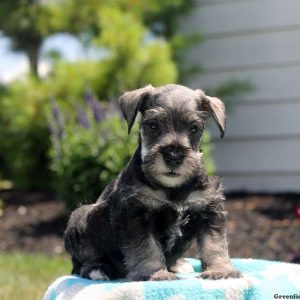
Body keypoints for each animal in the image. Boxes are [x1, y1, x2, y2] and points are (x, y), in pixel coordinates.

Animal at [64, 84, 240, 282]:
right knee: (79, 263)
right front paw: (154, 273)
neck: (173, 188)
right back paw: (98, 269)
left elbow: (214, 243)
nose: (173, 156)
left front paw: (220, 270)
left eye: (194, 128)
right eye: (154, 124)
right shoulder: (135, 213)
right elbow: (146, 247)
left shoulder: (209, 208)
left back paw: (179, 264)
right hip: (80, 216)